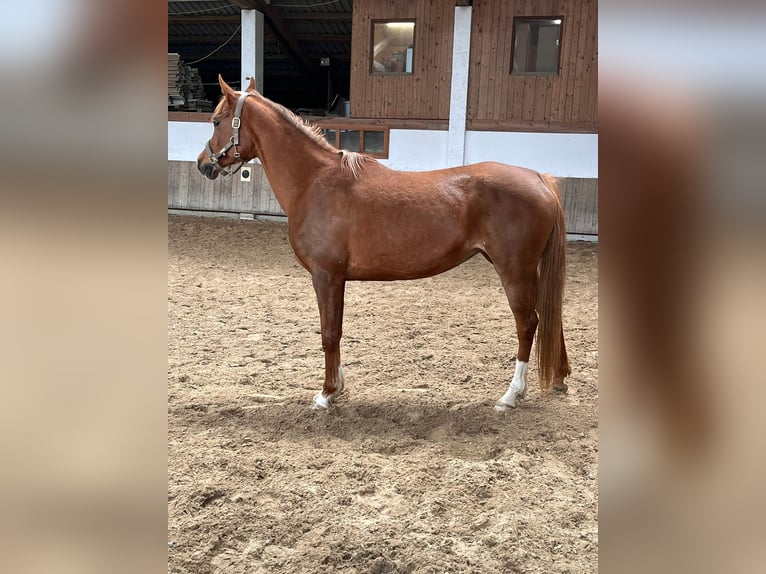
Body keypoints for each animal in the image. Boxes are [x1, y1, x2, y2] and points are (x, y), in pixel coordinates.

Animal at [198, 76, 568, 412]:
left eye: (216, 121)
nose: (203, 164)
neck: (315, 181)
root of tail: (540, 179)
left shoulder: (325, 276)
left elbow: (329, 333)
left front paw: (326, 394)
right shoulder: (336, 279)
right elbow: (335, 330)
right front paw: (338, 388)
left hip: (514, 271)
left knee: (528, 324)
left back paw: (510, 396)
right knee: (550, 317)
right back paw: (560, 379)